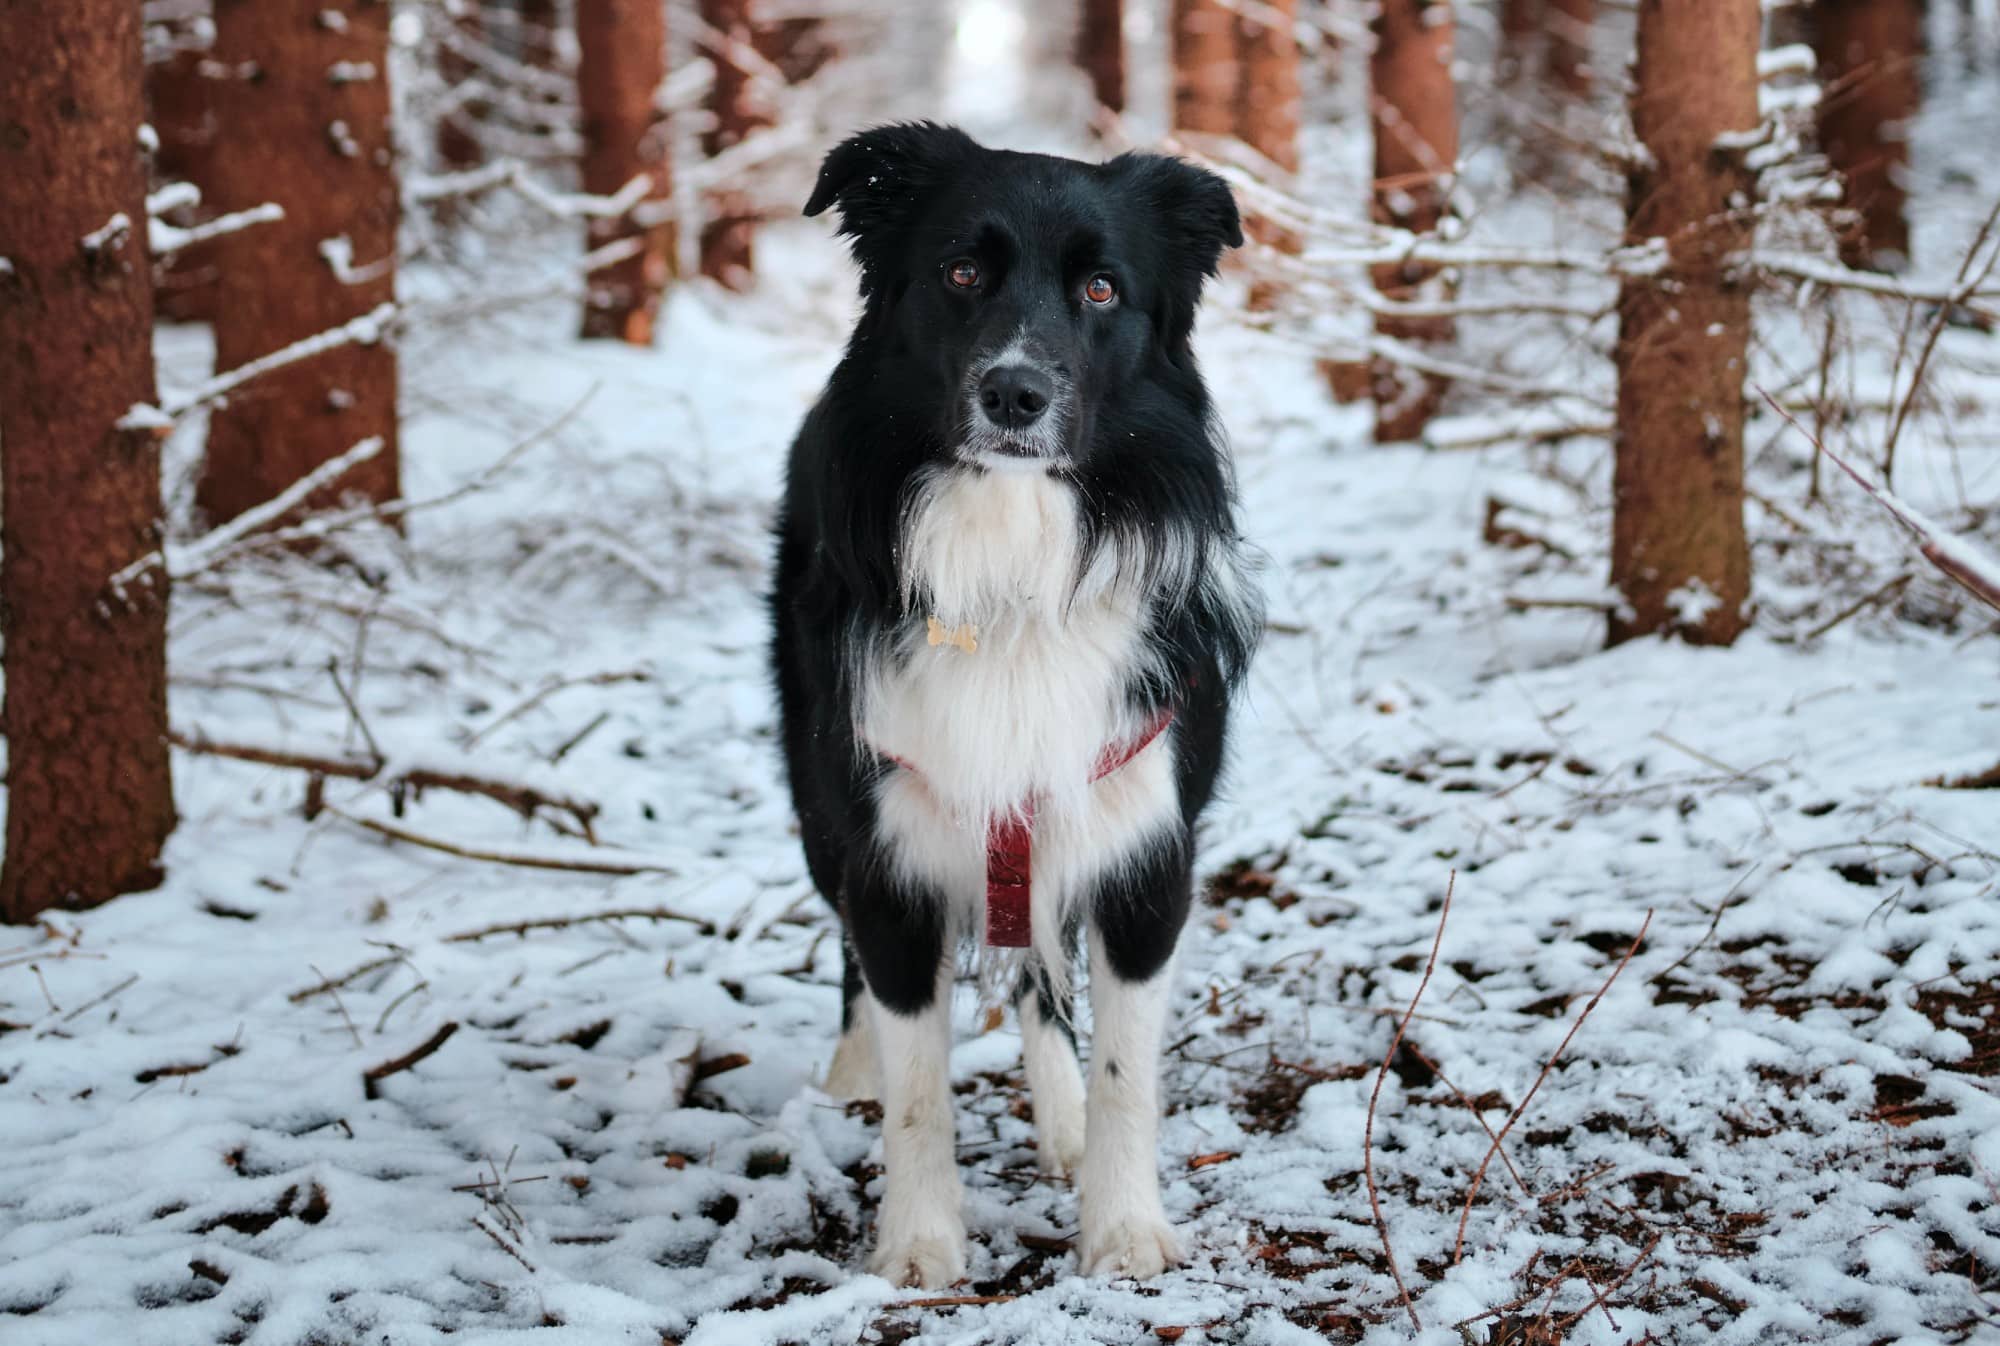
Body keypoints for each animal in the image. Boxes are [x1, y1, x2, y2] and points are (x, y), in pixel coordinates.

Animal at [772, 129, 1256, 1288]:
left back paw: (1061, 1116)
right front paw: (916, 1242)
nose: (1015, 394)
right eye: (960, 272)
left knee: (1039, 972)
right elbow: (916, 1086)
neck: (1011, 549)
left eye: (1101, 287)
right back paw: (849, 1069)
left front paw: (1121, 1227)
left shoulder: (1144, 849)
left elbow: (1127, 1070)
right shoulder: (887, 849)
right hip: (819, 805)